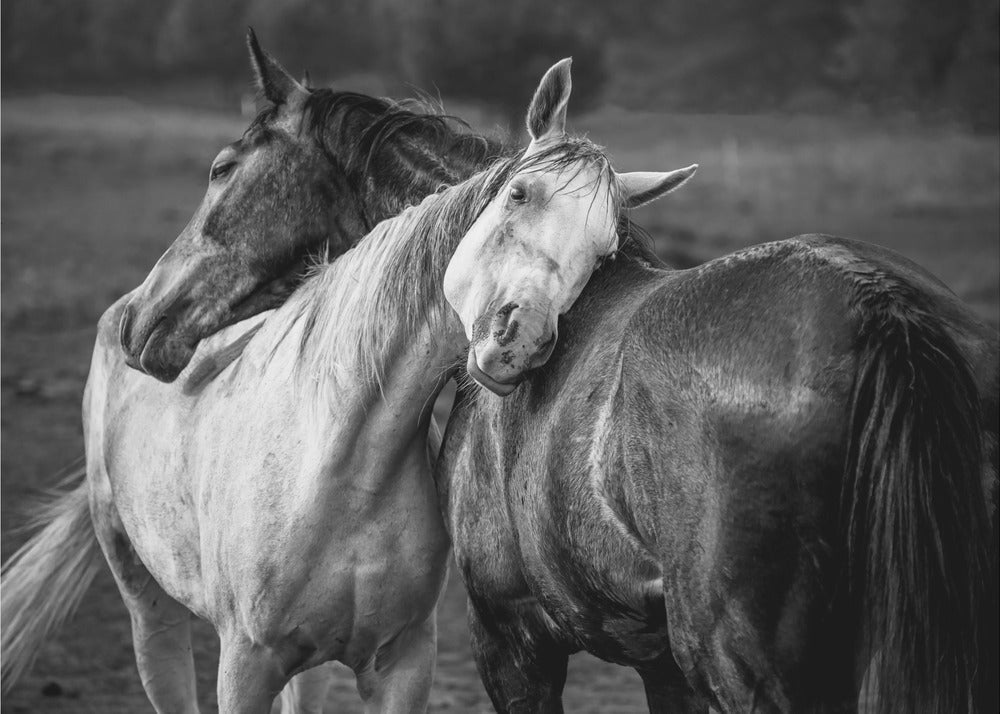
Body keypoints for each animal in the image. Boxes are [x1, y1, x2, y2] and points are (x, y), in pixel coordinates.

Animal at [0, 31, 503, 711]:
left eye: (221, 169)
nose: (139, 319)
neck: (349, 456)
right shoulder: (243, 662)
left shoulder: (402, 661)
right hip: (147, 607)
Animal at [438, 60, 998, 712]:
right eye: (518, 193)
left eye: (602, 248)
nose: (521, 338)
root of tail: (877, 300)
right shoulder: (661, 665)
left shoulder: (510, 637)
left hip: (732, 655)